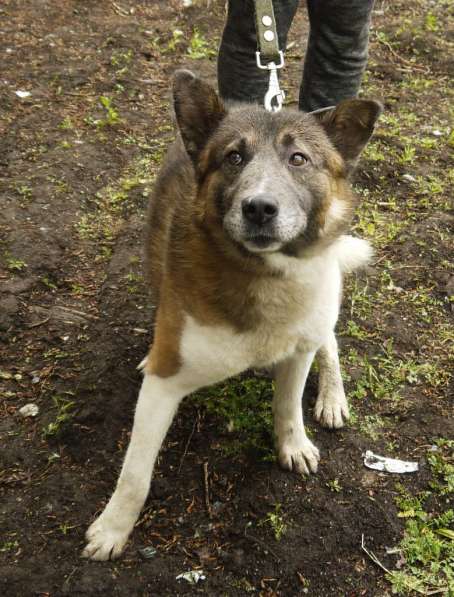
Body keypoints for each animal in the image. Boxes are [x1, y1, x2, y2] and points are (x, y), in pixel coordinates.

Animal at [82, 70, 384, 560]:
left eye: (298, 158)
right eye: (234, 157)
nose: (259, 207)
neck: (264, 274)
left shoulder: (299, 348)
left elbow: (288, 405)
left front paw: (293, 443)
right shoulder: (164, 383)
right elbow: (135, 472)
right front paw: (113, 529)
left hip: (327, 301)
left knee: (331, 343)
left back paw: (332, 396)